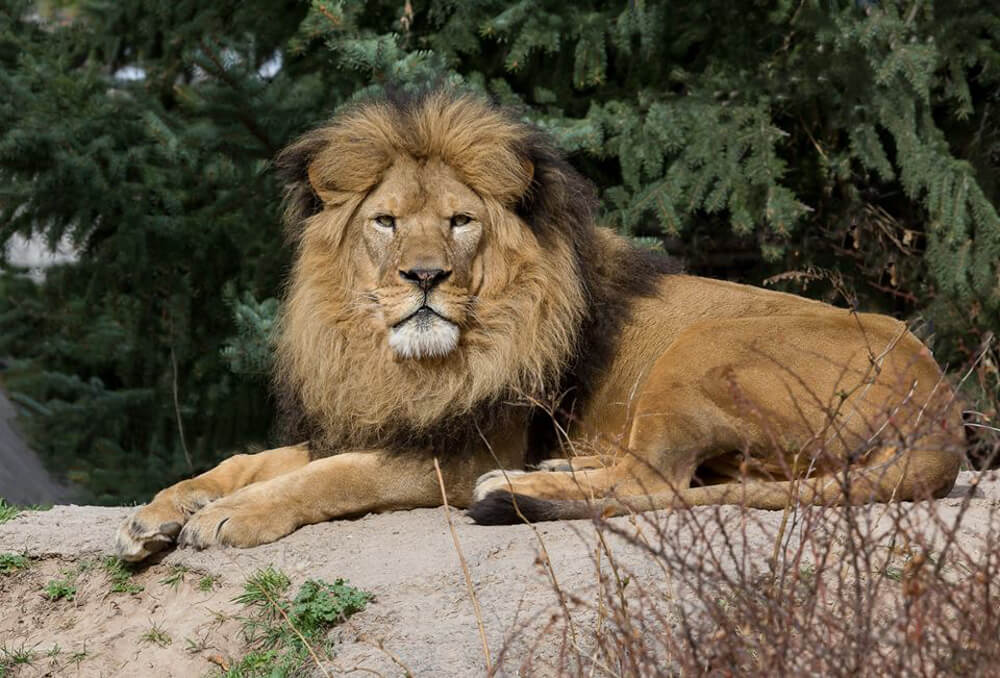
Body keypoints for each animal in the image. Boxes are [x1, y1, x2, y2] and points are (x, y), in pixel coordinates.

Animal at [113, 89, 964, 564]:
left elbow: (328, 476)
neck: (399, 362)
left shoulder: (458, 454)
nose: (425, 277)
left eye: (459, 222)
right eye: (386, 222)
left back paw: (522, 485)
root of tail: (942, 419)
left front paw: (228, 517)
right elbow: (251, 458)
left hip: (700, 347)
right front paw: (161, 511)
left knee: (655, 480)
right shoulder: (376, 418)